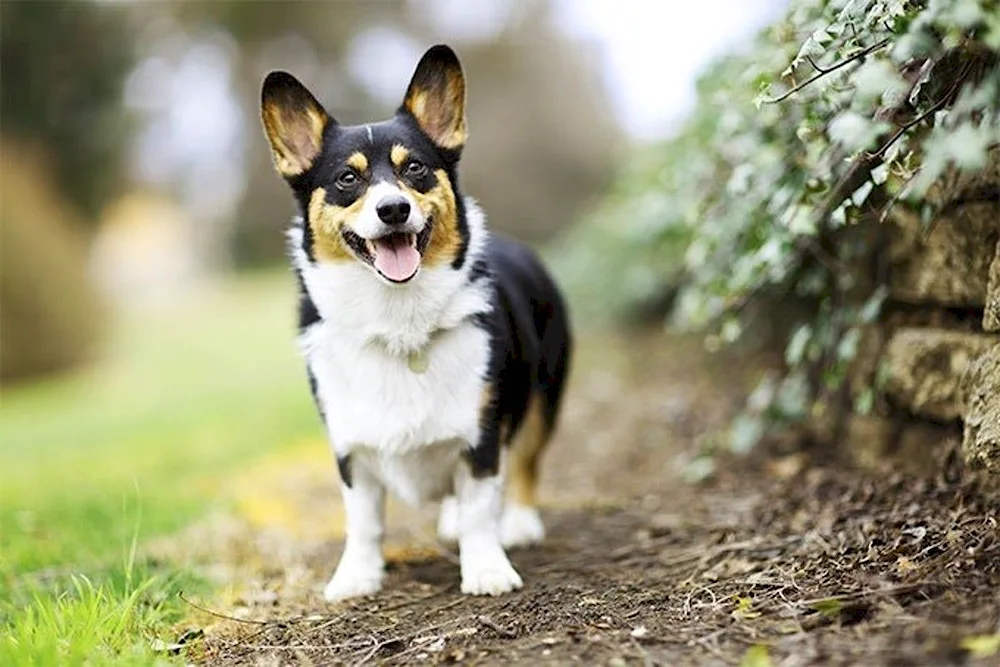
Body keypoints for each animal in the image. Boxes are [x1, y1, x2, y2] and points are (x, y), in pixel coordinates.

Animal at [260, 45, 572, 600]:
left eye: (417, 169)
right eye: (348, 179)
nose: (393, 209)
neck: (397, 318)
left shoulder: (482, 434)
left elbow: (480, 509)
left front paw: (487, 570)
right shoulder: (350, 448)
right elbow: (363, 522)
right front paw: (356, 577)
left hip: (543, 400)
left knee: (525, 462)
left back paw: (518, 522)